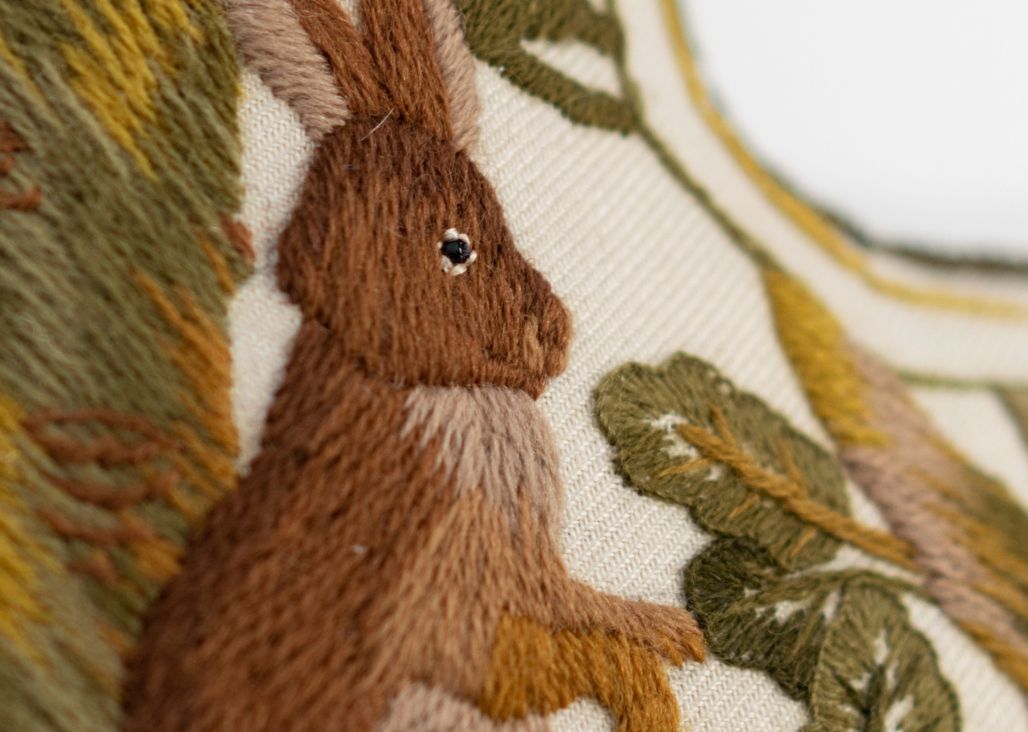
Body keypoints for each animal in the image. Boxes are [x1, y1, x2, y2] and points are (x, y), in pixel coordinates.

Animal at [123, 0, 705, 730]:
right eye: (457, 247)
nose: (553, 334)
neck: (424, 380)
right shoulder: (467, 609)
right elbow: (581, 651)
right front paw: (657, 668)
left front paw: (668, 636)